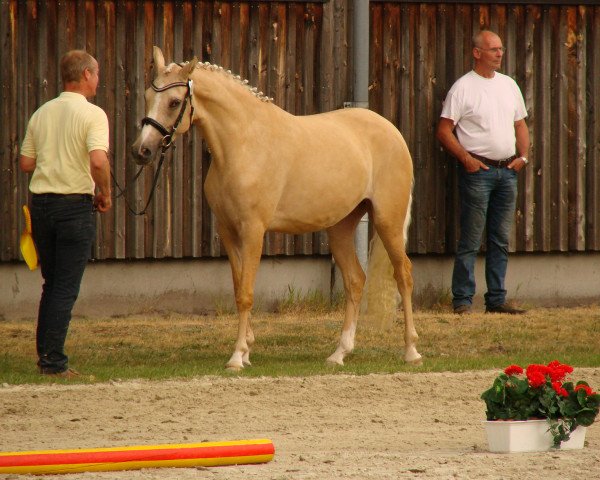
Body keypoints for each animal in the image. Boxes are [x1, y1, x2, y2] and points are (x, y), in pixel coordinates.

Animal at [131, 47, 422, 370]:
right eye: (147, 95)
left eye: (174, 102)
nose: (141, 151)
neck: (244, 144)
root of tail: (391, 131)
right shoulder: (229, 232)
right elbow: (238, 288)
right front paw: (246, 350)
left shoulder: (253, 231)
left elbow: (246, 294)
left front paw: (237, 356)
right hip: (341, 227)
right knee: (355, 281)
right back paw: (339, 354)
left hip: (387, 221)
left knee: (404, 275)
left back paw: (411, 350)